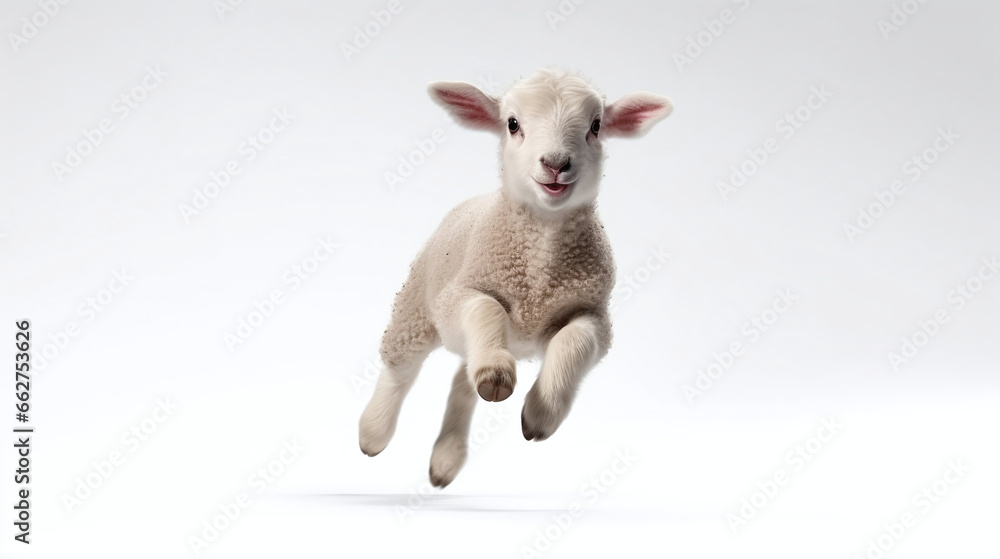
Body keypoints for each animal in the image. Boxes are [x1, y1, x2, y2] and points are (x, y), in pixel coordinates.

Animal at [359, 68, 673, 488]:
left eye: (596, 126)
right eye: (512, 124)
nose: (556, 163)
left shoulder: (593, 312)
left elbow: (576, 340)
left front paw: (540, 414)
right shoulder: (458, 295)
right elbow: (486, 307)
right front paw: (497, 371)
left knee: (462, 382)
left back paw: (446, 459)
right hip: (417, 306)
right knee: (400, 369)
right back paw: (373, 433)